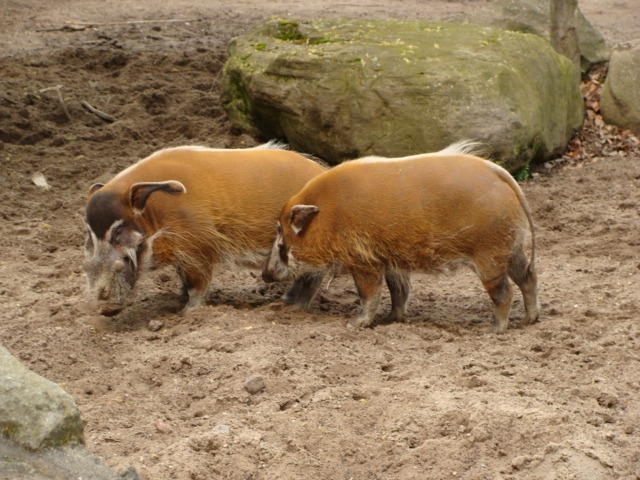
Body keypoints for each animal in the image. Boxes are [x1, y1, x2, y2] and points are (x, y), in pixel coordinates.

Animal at [84, 142, 326, 316]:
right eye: (89, 234)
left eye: (118, 232)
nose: (104, 304)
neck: (156, 215)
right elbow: (182, 277)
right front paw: (179, 297)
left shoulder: (196, 249)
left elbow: (197, 283)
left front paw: (186, 312)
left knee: (313, 277)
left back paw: (294, 306)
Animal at [262, 142, 539, 333]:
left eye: (281, 231)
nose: (265, 274)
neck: (329, 214)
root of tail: (499, 173)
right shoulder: (393, 260)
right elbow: (398, 291)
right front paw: (391, 320)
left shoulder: (363, 259)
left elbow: (369, 292)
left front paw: (355, 324)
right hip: (511, 247)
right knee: (528, 276)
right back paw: (530, 320)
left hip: (489, 253)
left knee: (504, 291)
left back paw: (494, 329)